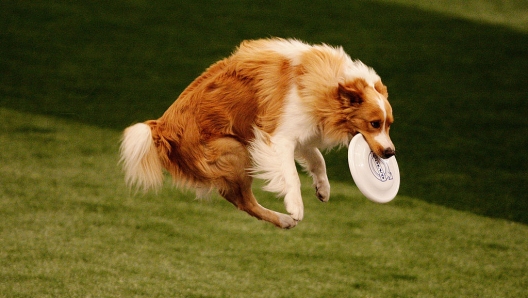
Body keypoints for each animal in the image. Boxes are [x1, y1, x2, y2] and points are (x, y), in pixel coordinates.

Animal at [118, 37, 392, 228]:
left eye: (389, 124)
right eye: (374, 124)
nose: (390, 152)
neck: (330, 86)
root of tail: (160, 128)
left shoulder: (304, 133)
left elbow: (317, 160)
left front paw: (323, 188)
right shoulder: (278, 137)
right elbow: (291, 175)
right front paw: (296, 205)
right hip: (237, 150)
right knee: (244, 201)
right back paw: (285, 219)